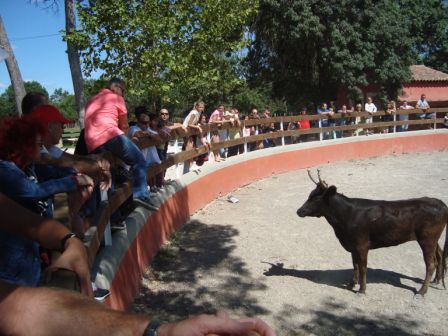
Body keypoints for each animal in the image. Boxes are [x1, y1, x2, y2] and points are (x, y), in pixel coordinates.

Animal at [298, 169, 448, 296]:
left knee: (430, 264)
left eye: (315, 199)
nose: (299, 211)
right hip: (432, 239)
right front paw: (352, 284)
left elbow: (363, 267)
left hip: (427, 239)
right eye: (309, 196)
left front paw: (362, 290)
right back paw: (436, 281)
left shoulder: (362, 245)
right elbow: (355, 265)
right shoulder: (352, 245)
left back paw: (422, 292)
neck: (347, 214)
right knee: (439, 256)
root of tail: (440, 203)